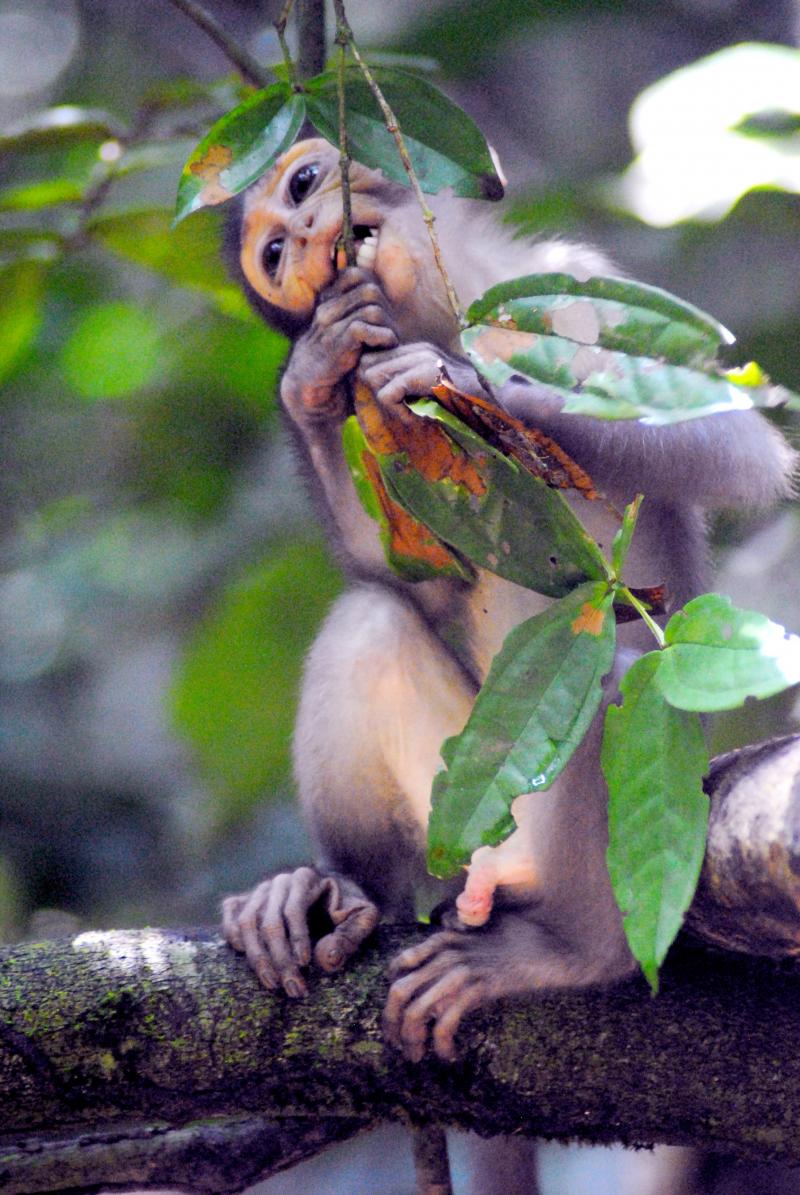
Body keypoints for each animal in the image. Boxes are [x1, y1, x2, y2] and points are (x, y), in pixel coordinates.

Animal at [220, 137, 798, 1065]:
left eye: (303, 184)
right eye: (275, 256)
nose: (307, 236)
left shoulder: (576, 281)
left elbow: (733, 445)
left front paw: (469, 379)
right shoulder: (376, 424)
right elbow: (407, 576)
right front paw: (309, 373)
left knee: (618, 675)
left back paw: (573, 950)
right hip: (457, 804)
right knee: (367, 622)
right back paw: (336, 892)